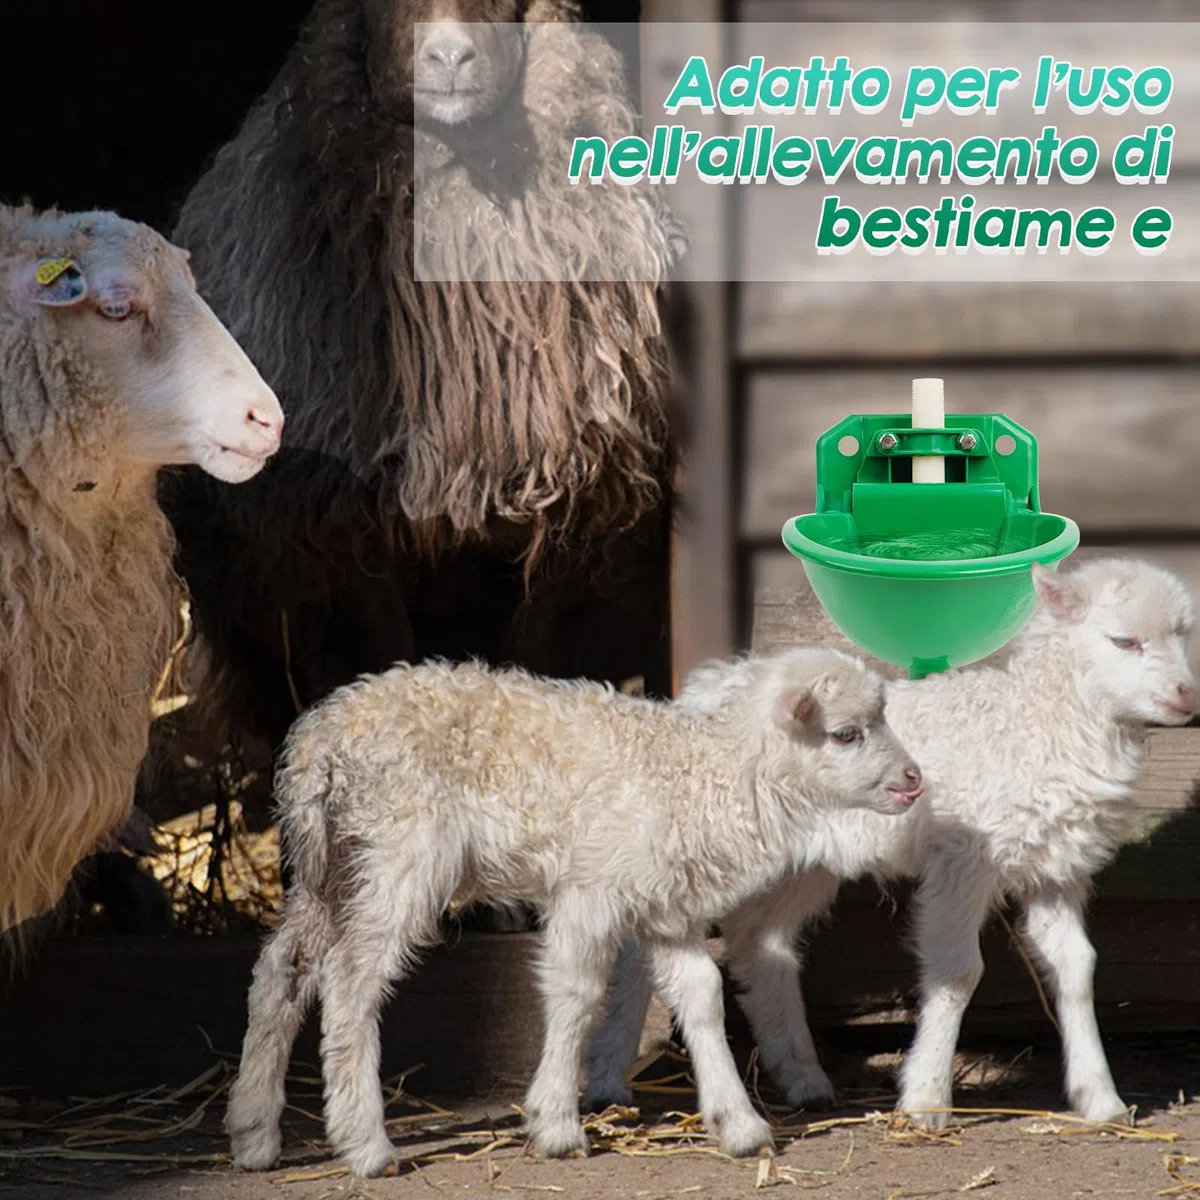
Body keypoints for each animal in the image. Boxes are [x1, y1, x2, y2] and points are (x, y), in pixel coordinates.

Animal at [224, 647, 926, 1176]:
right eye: (846, 733)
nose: (915, 780)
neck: (697, 775)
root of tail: (321, 737)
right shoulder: (592, 890)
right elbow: (578, 995)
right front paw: (557, 1122)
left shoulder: (663, 906)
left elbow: (702, 995)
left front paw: (739, 1122)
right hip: (402, 849)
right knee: (351, 980)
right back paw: (367, 1145)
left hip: (332, 862)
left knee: (281, 970)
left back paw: (254, 1133)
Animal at [585, 558, 1199, 1129]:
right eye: (1124, 640)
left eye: (1182, 634)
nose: (1186, 695)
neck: (1038, 722)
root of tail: (704, 686)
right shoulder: (963, 857)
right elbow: (958, 971)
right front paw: (926, 1098)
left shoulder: (1056, 865)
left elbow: (1077, 966)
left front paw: (1101, 1098)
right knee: (645, 949)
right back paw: (609, 1079)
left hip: (801, 864)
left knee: (759, 943)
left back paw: (804, 1079)